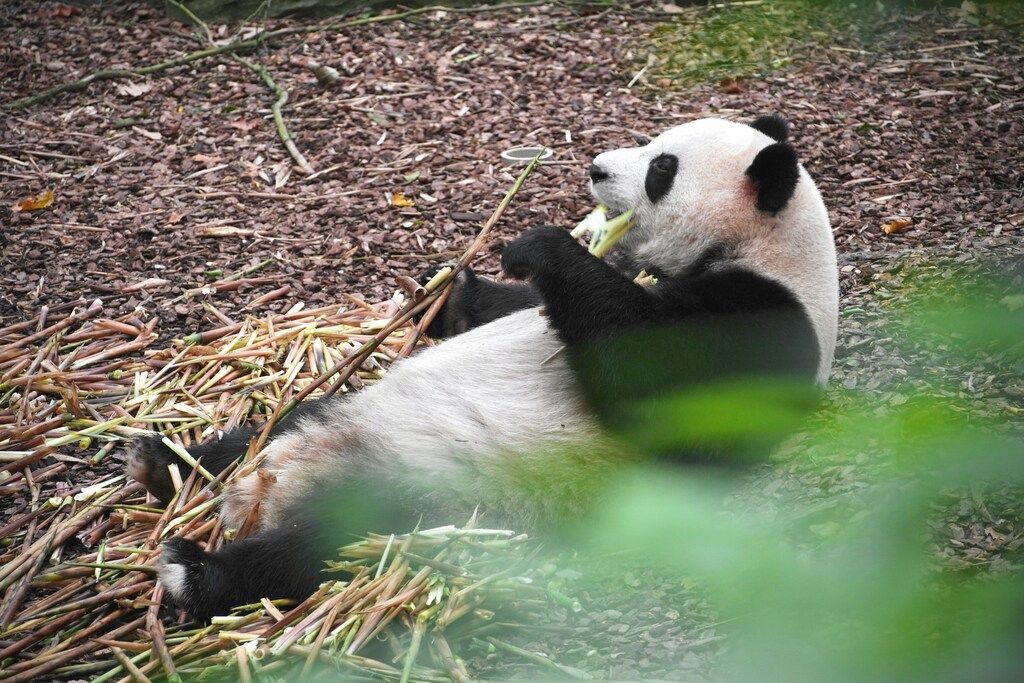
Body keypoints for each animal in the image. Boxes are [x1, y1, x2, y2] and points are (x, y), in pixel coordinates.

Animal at [128, 115, 839, 620]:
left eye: (662, 167)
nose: (597, 169)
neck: (766, 248)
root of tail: (275, 488)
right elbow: (512, 308)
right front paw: (449, 289)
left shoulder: (765, 325)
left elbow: (656, 383)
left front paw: (542, 243)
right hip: (336, 413)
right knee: (269, 430)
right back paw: (164, 462)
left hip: (436, 501)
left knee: (329, 546)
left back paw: (195, 574)